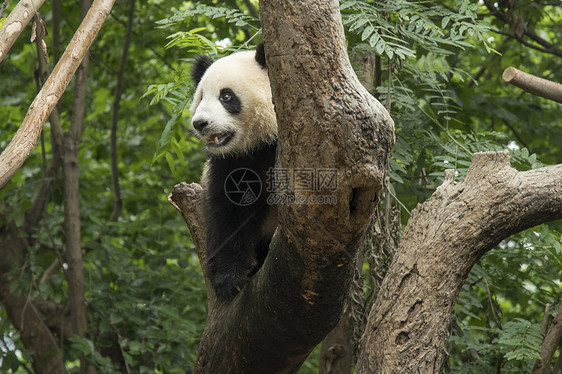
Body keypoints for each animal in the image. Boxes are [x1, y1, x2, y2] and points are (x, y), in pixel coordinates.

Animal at [189, 43, 276, 300]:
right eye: (201, 97)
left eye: (226, 96)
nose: (200, 123)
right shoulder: (229, 164)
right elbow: (230, 213)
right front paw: (229, 280)